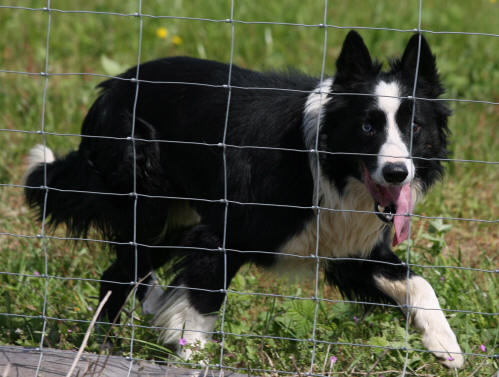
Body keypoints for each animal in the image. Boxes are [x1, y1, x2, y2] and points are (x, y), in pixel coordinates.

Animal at [24, 30, 464, 366]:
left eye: (415, 128)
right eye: (368, 127)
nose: (397, 173)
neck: (323, 165)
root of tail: (113, 86)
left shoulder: (348, 248)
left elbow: (418, 282)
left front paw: (447, 347)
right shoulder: (222, 233)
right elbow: (200, 303)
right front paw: (194, 359)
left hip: (173, 223)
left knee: (116, 277)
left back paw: (102, 349)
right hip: (144, 199)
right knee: (122, 273)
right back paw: (100, 349)